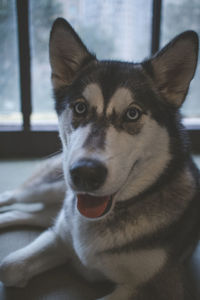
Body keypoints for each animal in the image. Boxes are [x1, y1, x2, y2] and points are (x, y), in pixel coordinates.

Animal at [0, 17, 200, 298]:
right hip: (52, 186)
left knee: (30, 213)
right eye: (80, 107)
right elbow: (9, 267)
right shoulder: (60, 236)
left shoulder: (160, 287)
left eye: (132, 113)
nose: (85, 172)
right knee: (14, 197)